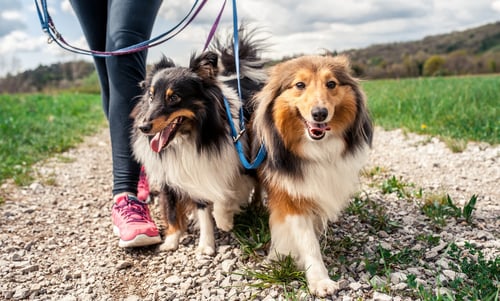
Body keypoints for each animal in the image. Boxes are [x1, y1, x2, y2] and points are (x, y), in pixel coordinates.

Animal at [252, 54, 374, 296]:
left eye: (331, 84)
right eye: (300, 85)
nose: (320, 114)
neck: (316, 149)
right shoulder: (290, 197)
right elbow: (308, 242)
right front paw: (319, 280)